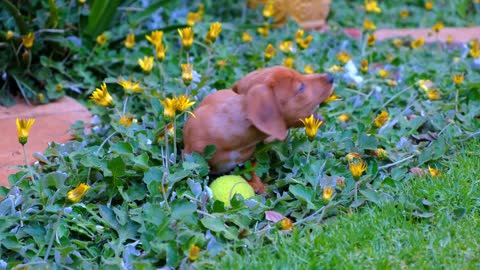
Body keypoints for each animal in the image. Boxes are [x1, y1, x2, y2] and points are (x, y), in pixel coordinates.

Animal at [184, 66, 334, 192]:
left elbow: (253, 168)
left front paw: (257, 185)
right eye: (301, 87)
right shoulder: (190, 154)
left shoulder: (252, 155)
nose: (331, 77)